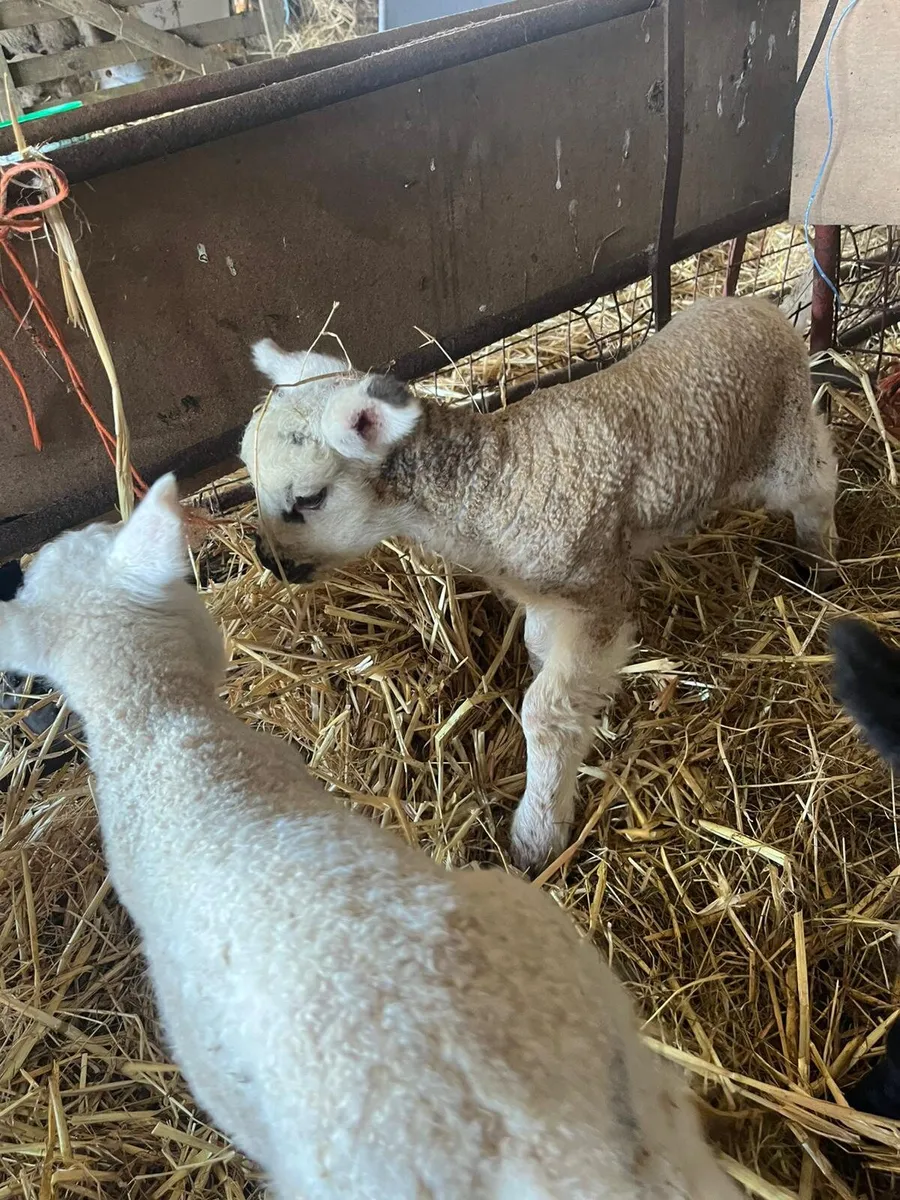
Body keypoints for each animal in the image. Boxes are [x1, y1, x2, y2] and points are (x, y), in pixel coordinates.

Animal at [241, 295, 840, 873]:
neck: (492, 483)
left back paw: (822, 564)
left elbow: (547, 713)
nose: (269, 562)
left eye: (309, 498)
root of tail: (755, 306)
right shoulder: (548, 594)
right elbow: (539, 651)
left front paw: (537, 836)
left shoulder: (597, 598)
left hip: (786, 438)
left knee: (818, 481)